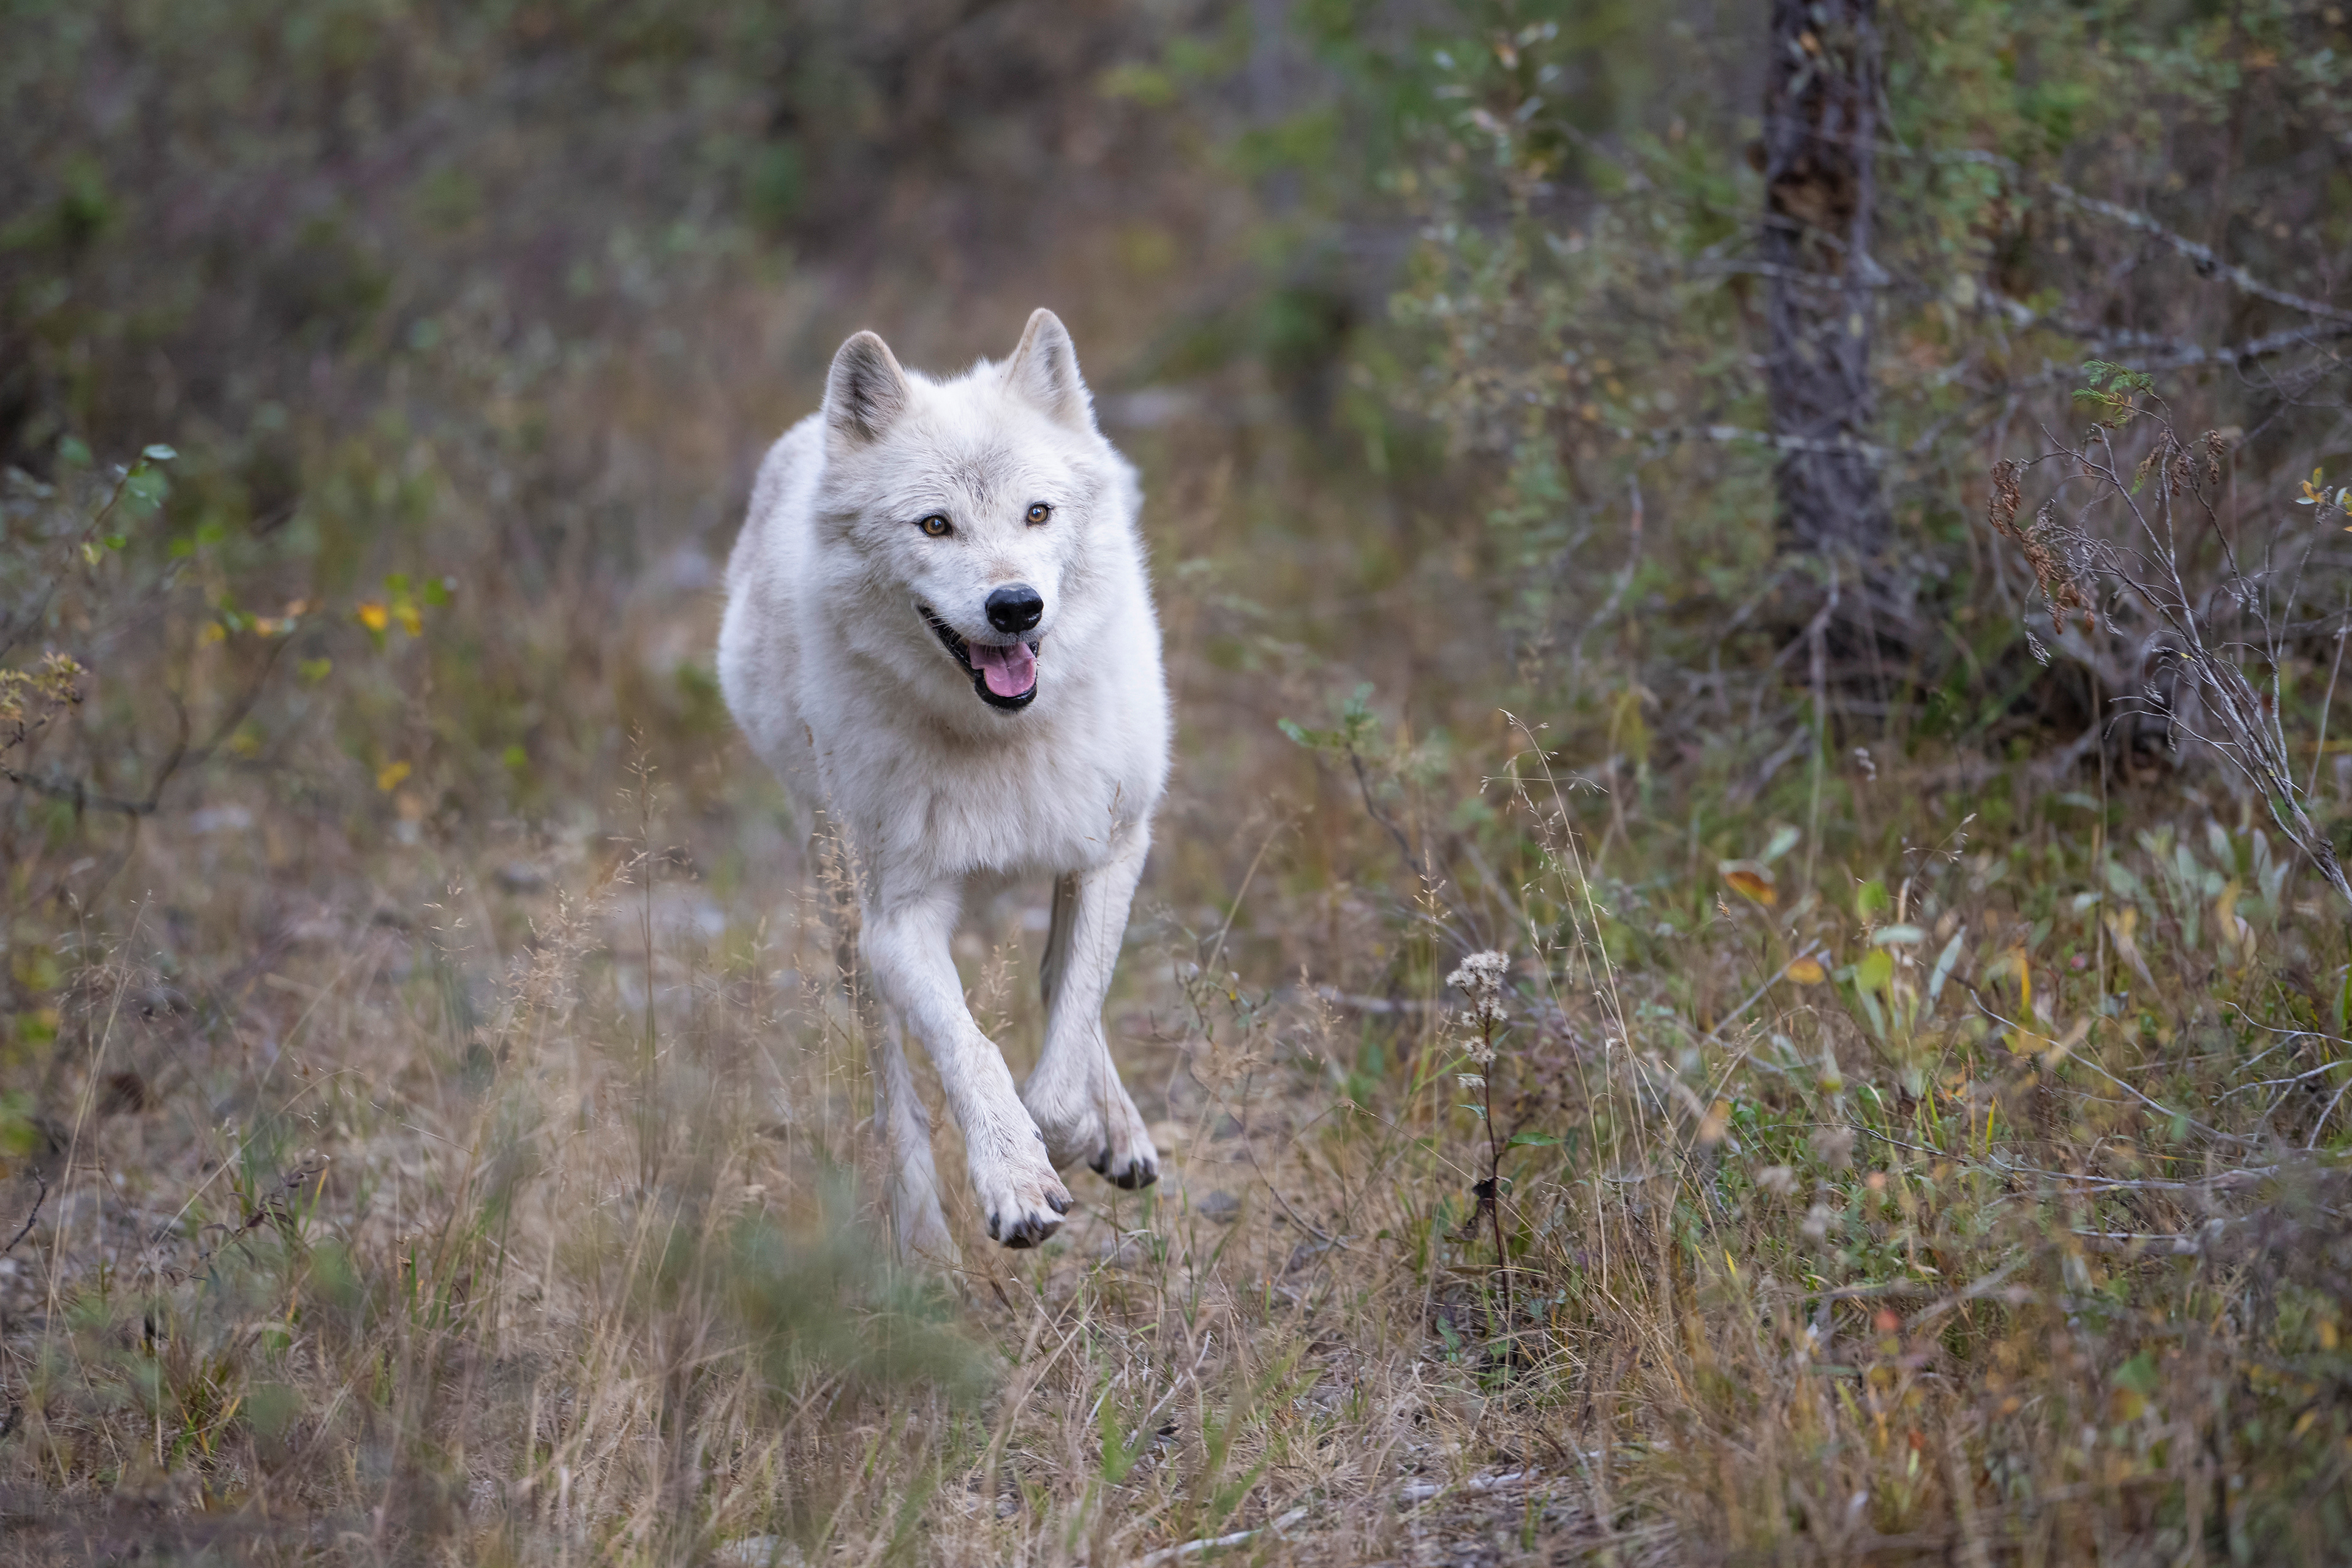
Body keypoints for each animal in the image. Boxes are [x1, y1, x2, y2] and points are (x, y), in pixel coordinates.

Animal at [717, 309, 1167, 1263]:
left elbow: (1069, 1027)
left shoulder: (1113, 849)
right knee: (897, 1095)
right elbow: (971, 1052)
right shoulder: (900, 920)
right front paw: (1016, 1181)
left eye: (1037, 512)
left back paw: (1120, 1129)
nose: (1015, 606)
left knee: (1061, 984)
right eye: (935, 525)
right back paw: (923, 1241)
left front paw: (1077, 1133)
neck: (1003, 736)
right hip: (842, 908)